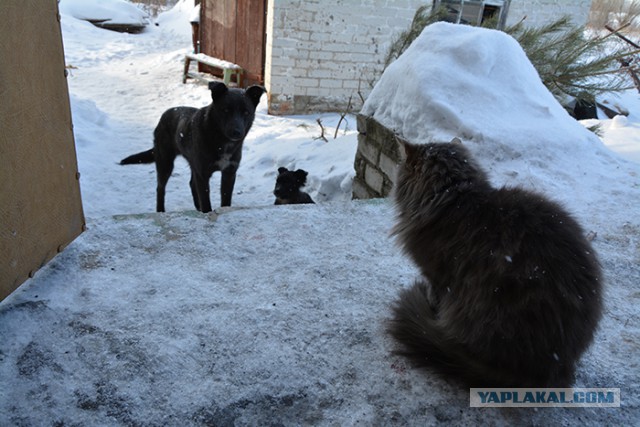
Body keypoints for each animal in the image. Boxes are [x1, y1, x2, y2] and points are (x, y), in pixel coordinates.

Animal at [121, 81, 264, 212]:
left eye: (246, 112)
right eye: (225, 110)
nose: (237, 132)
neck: (221, 141)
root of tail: (164, 115)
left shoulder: (229, 173)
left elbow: (225, 200)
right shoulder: (202, 174)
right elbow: (206, 201)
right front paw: (206, 212)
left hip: (191, 163)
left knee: (191, 184)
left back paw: (197, 208)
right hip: (165, 162)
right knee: (160, 188)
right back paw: (161, 211)